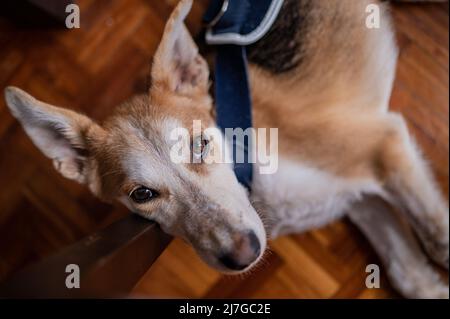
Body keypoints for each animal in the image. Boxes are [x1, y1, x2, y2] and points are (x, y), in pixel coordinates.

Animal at [4, 0, 450, 300]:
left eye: (200, 144)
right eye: (142, 195)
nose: (243, 254)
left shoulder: (384, 144)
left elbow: (438, 239)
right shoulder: (359, 197)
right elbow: (412, 274)